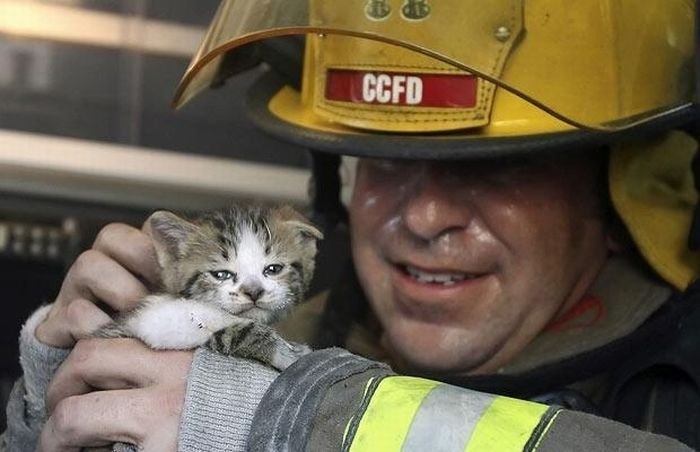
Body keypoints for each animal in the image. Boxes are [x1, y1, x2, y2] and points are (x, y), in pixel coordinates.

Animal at [93, 204, 322, 370]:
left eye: (273, 269)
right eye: (221, 274)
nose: (253, 292)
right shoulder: (158, 319)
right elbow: (233, 327)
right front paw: (289, 354)